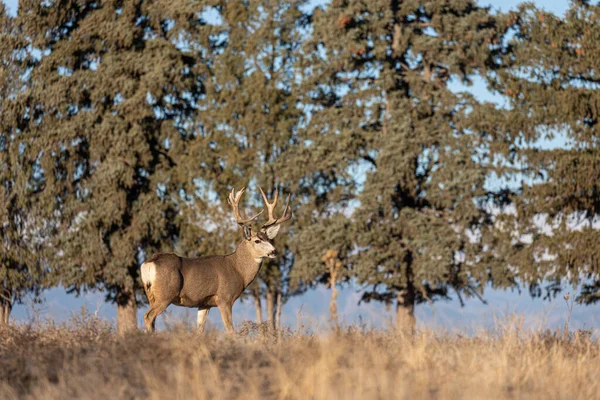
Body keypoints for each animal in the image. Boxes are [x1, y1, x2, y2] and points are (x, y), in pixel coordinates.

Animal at [139, 186, 292, 332]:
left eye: (269, 239)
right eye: (257, 241)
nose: (274, 251)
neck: (238, 270)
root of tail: (149, 263)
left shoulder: (204, 303)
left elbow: (200, 330)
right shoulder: (225, 298)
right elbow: (230, 330)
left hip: (151, 295)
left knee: (152, 319)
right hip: (165, 295)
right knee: (148, 316)